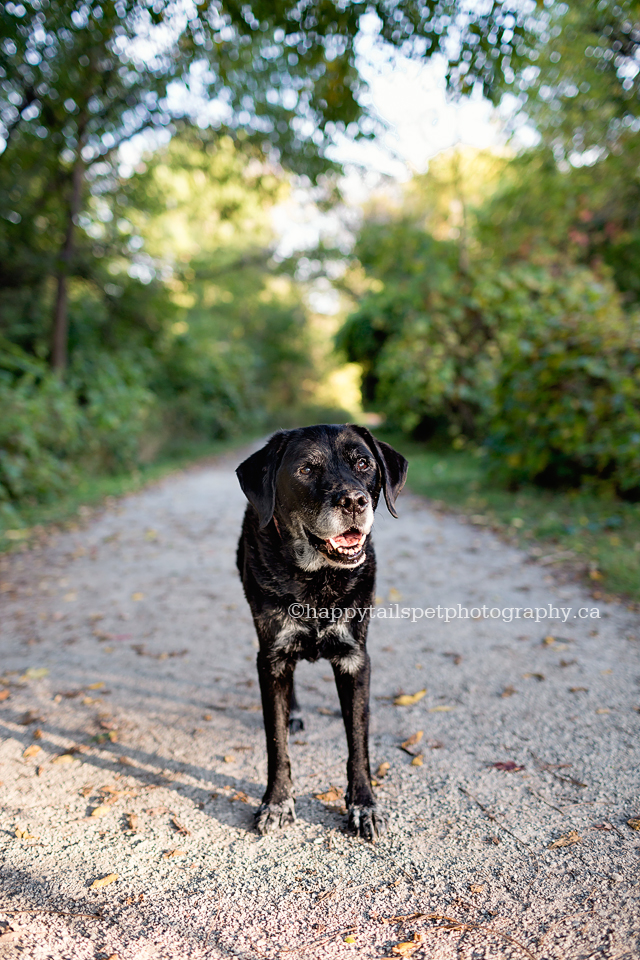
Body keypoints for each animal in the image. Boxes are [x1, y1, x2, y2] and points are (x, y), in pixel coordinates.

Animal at [234, 426, 404, 840]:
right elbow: (275, 742)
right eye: (306, 469)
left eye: (363, 463)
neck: (317, 581)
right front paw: (276, 802)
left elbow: (358, 742)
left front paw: (364, 806)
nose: (354, 501)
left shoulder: (355, 661)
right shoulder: (272, 658)